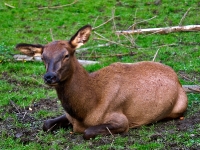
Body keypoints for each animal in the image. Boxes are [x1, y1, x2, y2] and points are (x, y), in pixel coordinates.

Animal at [15, 24, 188, 139]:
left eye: (66, 55)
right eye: (43, 58)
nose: (49, 76)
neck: (85, 110)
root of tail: (176, 77)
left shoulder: (121, 120)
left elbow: (87, 132)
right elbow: (46, 124)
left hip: (180, 106)